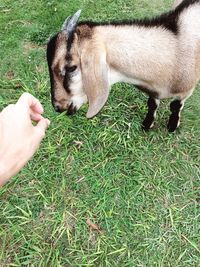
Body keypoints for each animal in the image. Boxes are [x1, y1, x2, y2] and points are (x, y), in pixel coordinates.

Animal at [46, 0, 200, 132]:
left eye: (71, 68)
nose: (58, 106)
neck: (175, 50)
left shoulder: (186, 91)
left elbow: (175, 106)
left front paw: (172, 126)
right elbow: (152, 104)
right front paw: (147, 124)